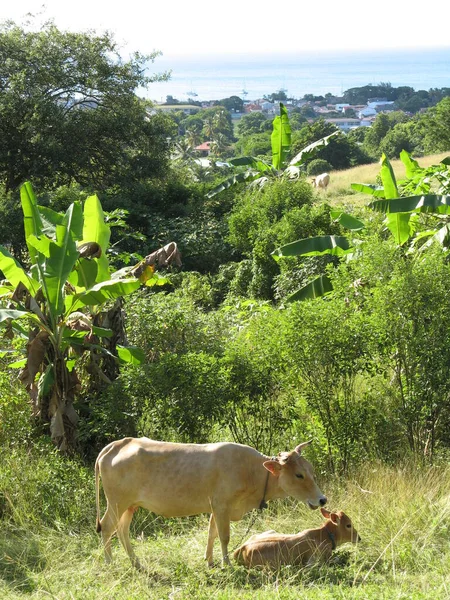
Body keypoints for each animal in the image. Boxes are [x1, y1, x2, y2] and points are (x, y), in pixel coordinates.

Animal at [95, 436, 326, 568]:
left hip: (129, 505)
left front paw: (210, 560)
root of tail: (118, 444)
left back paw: (136, 563)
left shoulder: (216, 507)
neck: (252, 471)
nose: (322, 499)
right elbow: (224, 536)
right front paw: (227, 563)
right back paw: (109, 563)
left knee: (122, 530)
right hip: (116, 502)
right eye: (298, 475)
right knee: (107, 527)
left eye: (311, 470)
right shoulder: (222, 505)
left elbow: (211, 532)